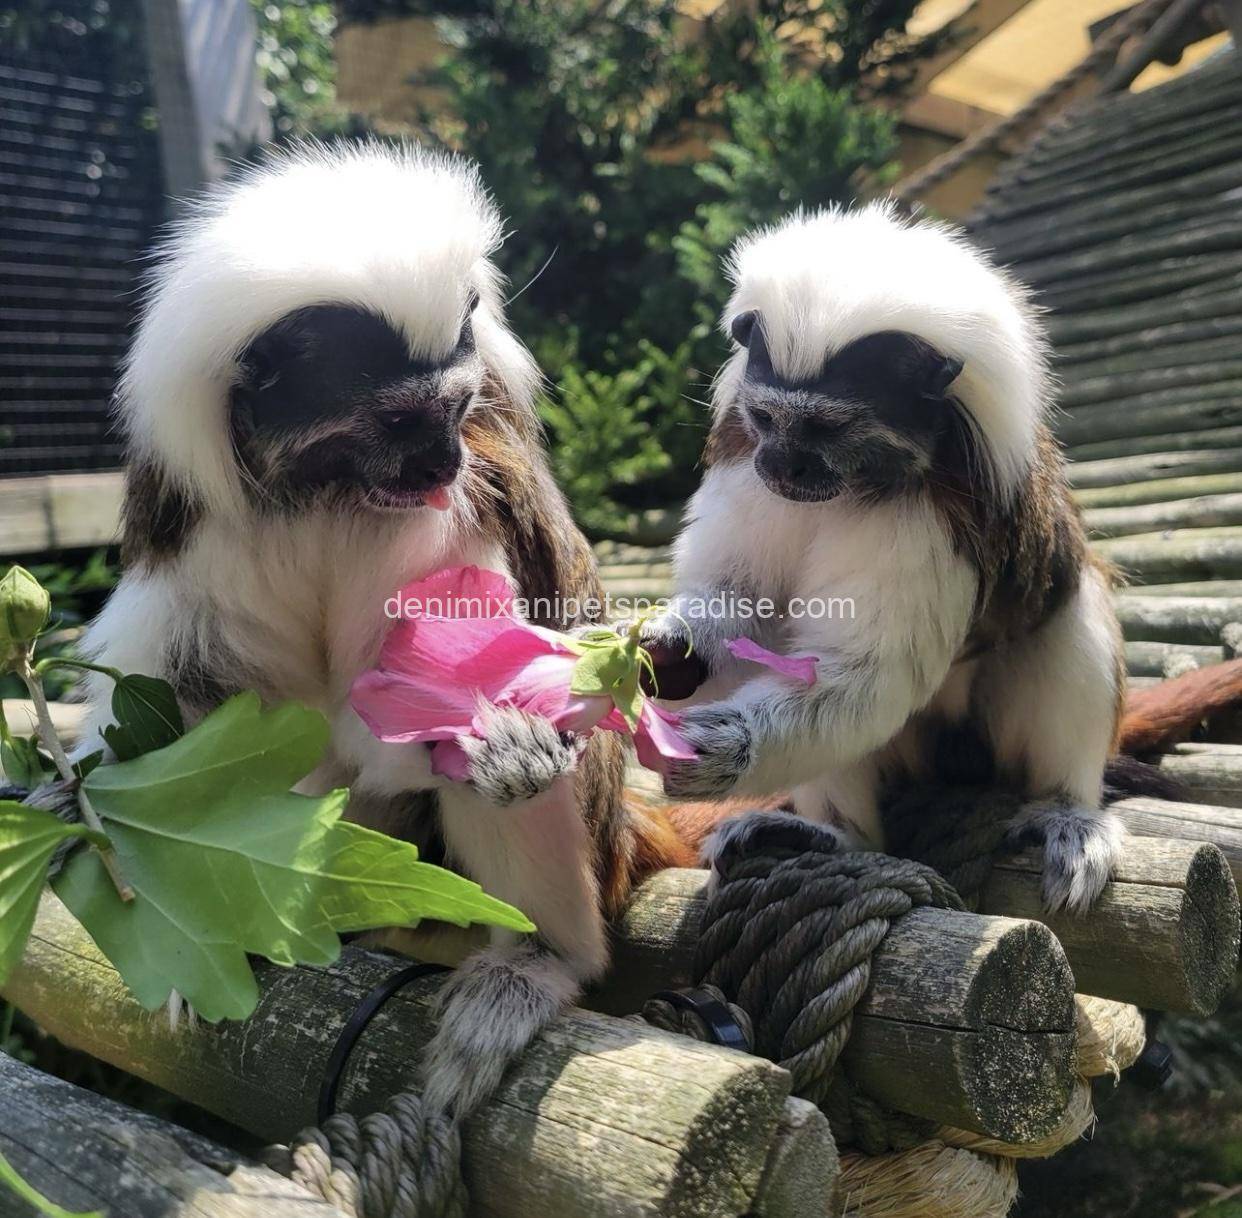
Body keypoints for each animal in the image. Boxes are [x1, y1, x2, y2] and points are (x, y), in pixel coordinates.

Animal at [72, 142, 690, 1118]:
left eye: (457, 409)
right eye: (400, 421)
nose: (442, 463)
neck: (330, 495)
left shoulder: (460, 512)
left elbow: (442, 686)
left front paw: (490, 739)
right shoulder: (197, 538)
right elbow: (184, 705)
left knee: (516, 775)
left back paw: (538, 958)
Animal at [639, 201, 1126, 913]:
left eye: (826, 428)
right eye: (767, 418)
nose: (780, 465)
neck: (850, 484)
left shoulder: (930, 516)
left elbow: (863, 678)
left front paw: (721, 747)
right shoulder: (743, 466)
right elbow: (744, 608)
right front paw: (672, 644)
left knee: (1069, 619)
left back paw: (1067, 810)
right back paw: (833, 836)